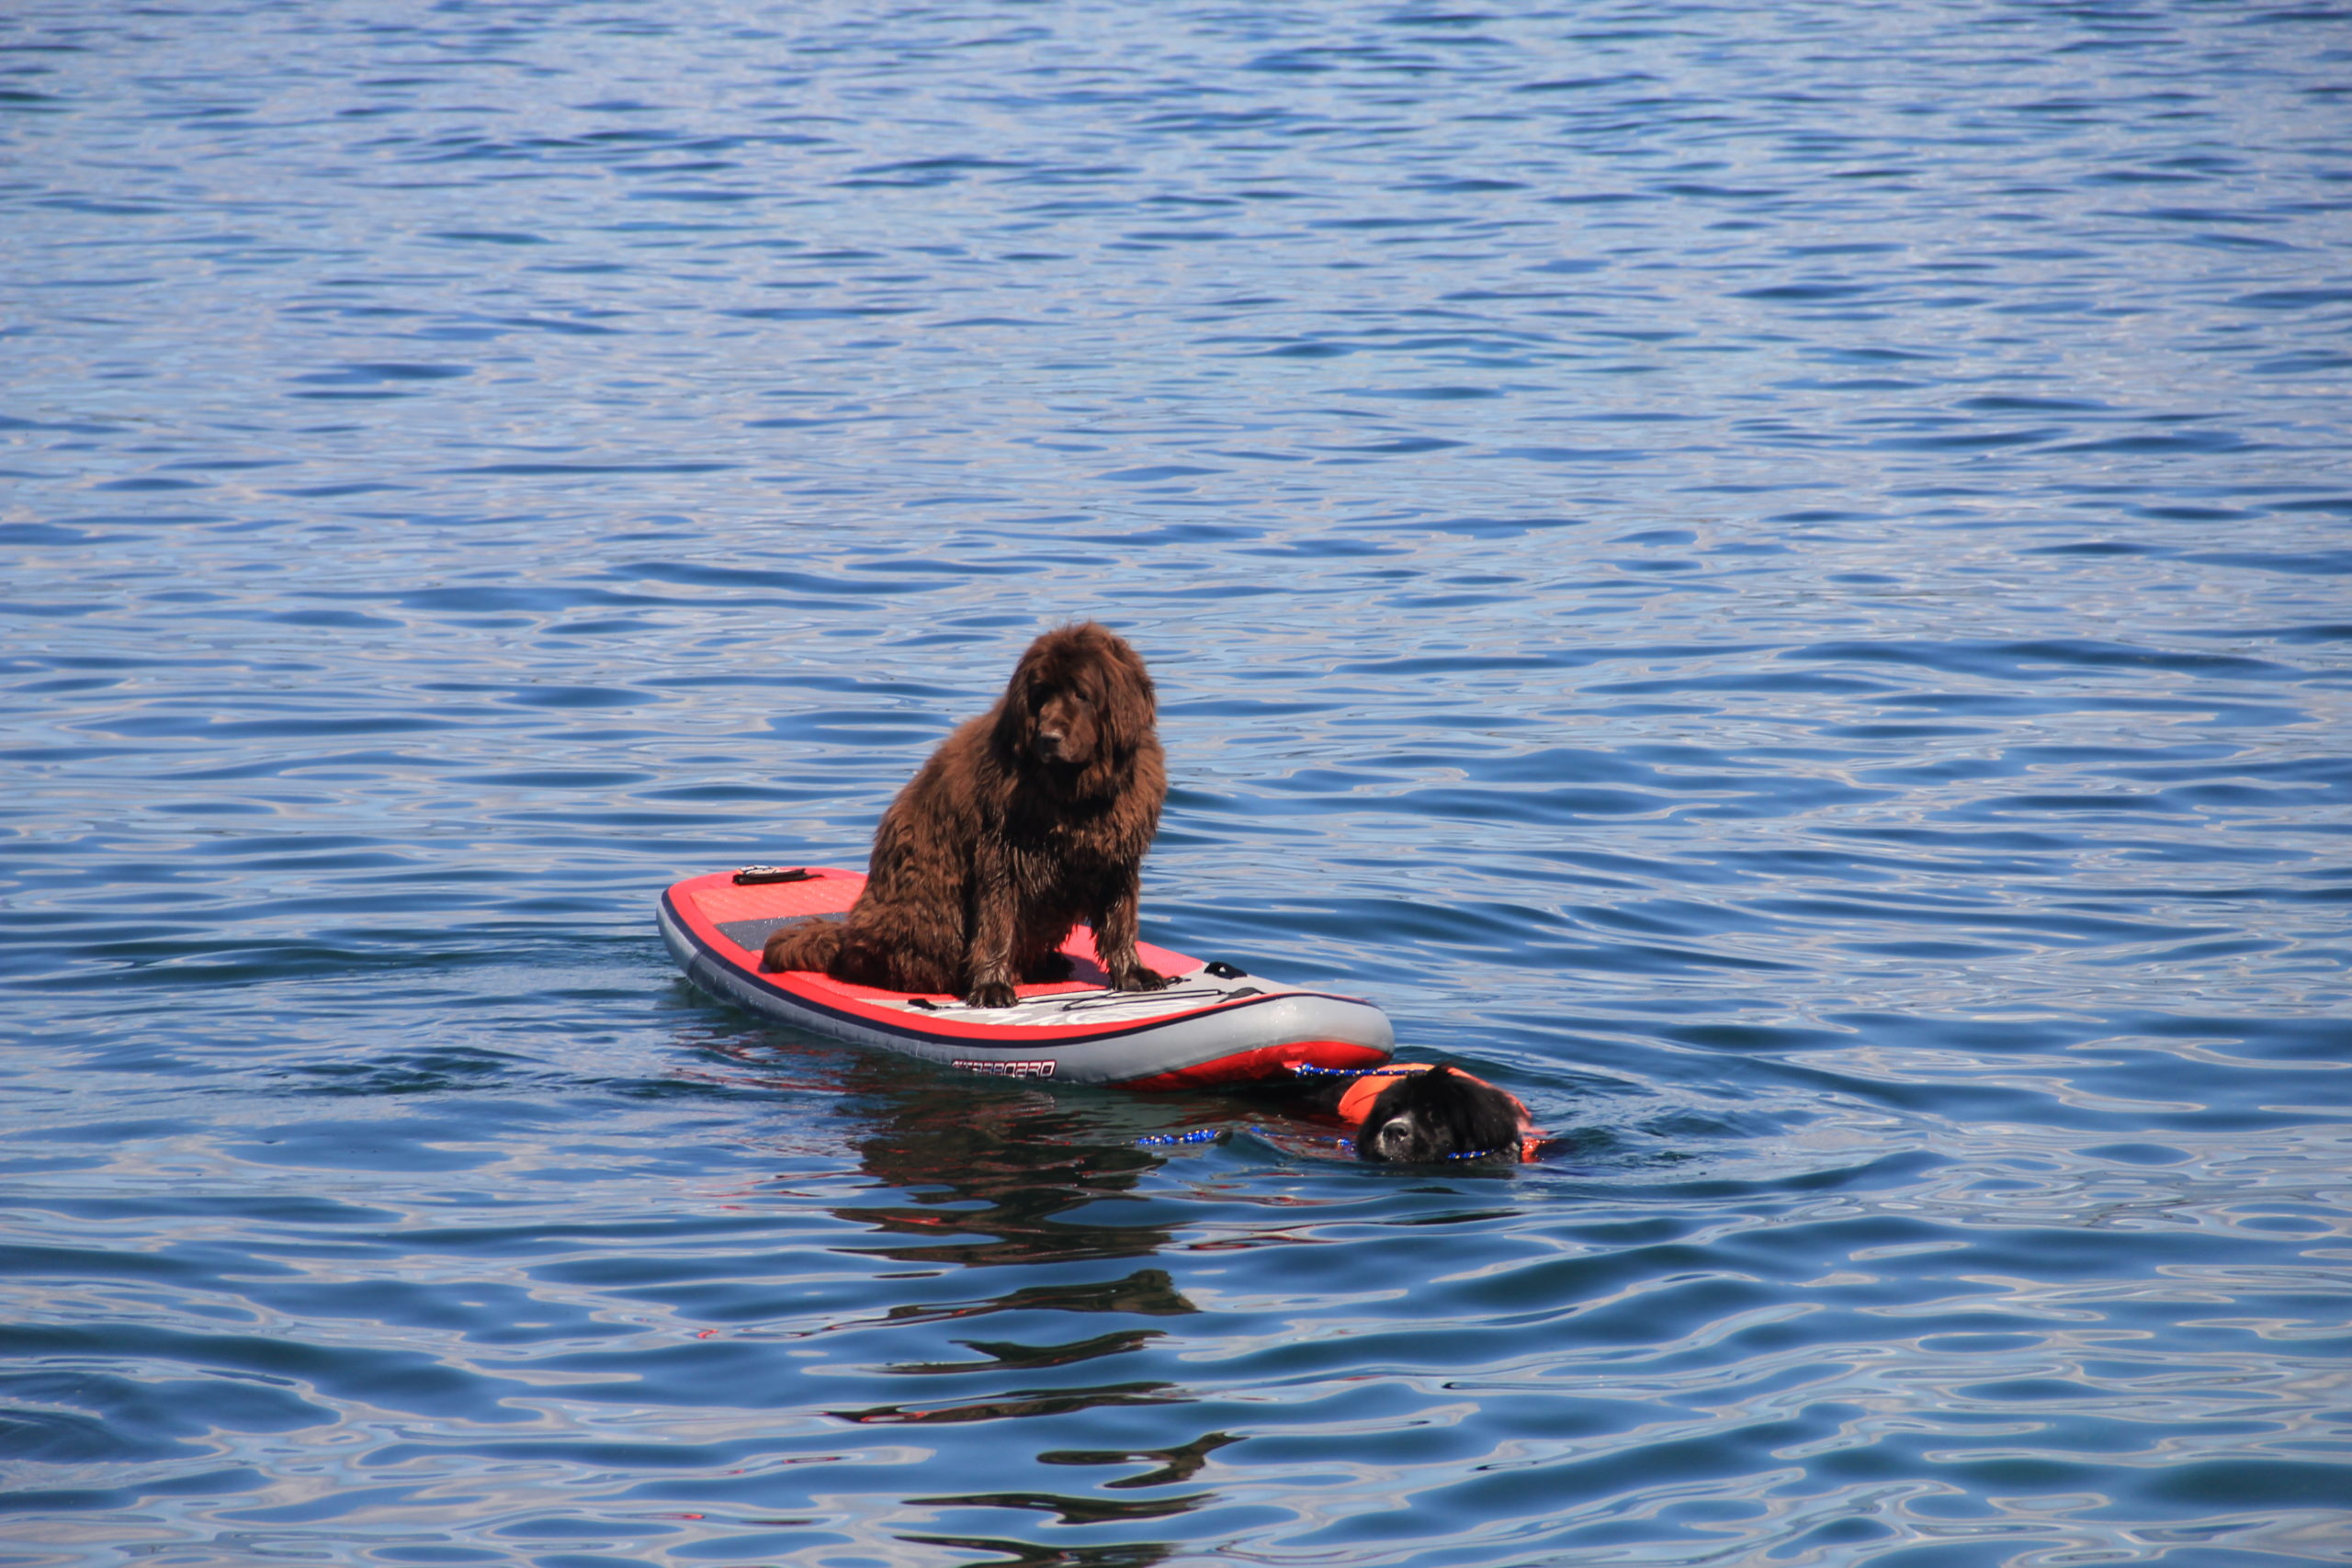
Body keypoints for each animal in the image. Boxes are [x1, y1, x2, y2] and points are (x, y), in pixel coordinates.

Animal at [766, 620, 1170, 1010]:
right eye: (1041, 696)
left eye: (1080, 694)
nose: (1048, 737)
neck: (1076, 797)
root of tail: (847, 939)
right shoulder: (1002, 855)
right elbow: (996, 924)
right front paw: (992, 986)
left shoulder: (1115, 856)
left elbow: (1120, 919)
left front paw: (1133, 973)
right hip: (926, 919)